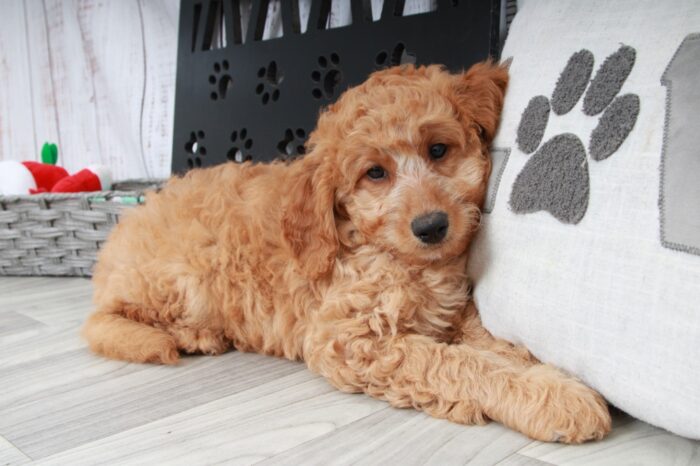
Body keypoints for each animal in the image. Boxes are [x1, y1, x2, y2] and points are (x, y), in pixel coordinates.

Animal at [82, 63, 608, 442]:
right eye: (375, 174)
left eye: (439, 150)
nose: (432, 226)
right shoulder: (349, 338)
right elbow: (453, 362)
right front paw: (555, 399)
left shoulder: (449, 305)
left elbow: (488, 340)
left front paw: (541, 372)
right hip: (179, 283)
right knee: (108, 318)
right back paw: (194, 335)